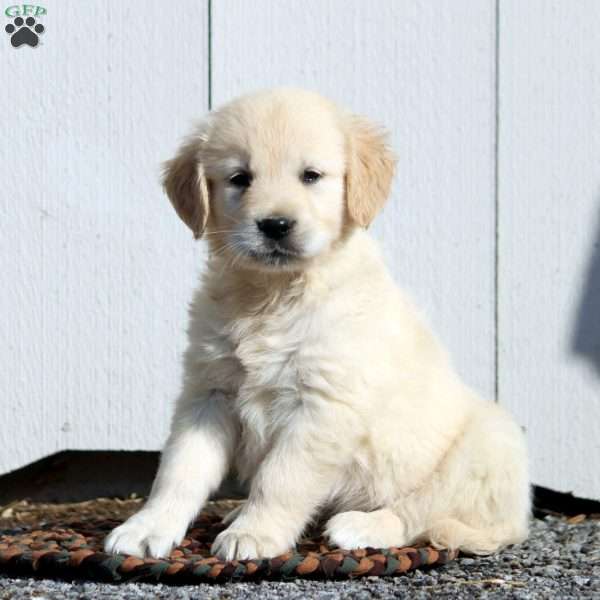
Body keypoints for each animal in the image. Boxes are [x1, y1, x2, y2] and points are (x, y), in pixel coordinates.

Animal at [104, 86, 528, 560]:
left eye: (311, 176)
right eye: (239, 178)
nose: (275, 225)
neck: (275, 296)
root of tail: (514, 521)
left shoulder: (323, 405)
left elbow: (280, 479)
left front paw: (255, 533)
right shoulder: (208, 392)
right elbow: (179, 470)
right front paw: (148, 527)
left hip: (488, 441)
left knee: (418, 513)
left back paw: (360, 526)